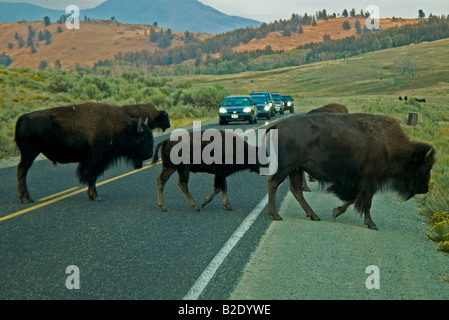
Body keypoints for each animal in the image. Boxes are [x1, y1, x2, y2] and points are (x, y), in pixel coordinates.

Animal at [14, 101, 154, 204]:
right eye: (143, 137)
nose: (150, 154)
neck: (117, 126)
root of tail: (23, 117)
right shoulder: (95, 159)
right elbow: (92, 177)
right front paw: (95, 197)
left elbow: (91, 177)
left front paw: (92, 196)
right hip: (30, 153)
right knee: (22, 170)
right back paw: (25, 199)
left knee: (22, 171)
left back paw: (27, 198)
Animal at [266, 112, 434, 230]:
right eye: (426, 167)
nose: (425, 189)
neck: (389, 144)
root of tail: (278, 126)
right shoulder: (370, 180)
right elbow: (366, 202)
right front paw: (372, 224)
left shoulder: (361, 181)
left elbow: (356, 198)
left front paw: (336, 211)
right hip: (286, 167)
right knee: (273, 183)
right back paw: (276, 215)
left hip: (296, 169)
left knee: (296, 190)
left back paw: (313, 215)